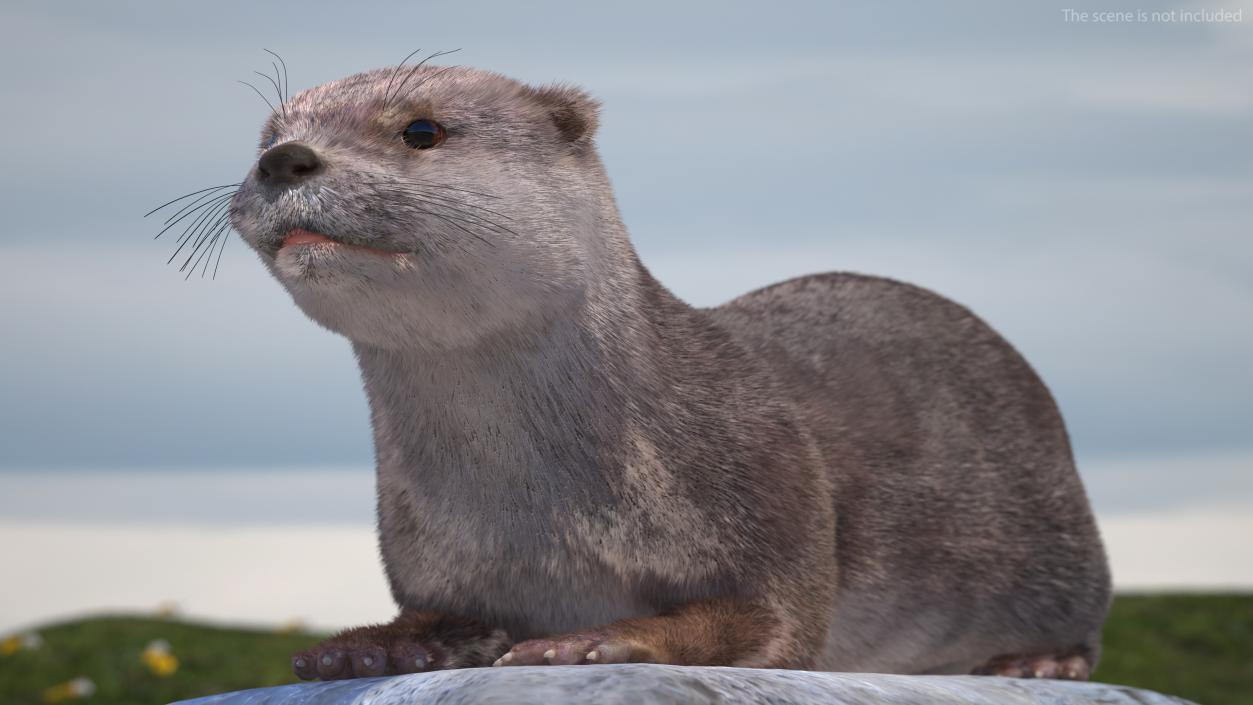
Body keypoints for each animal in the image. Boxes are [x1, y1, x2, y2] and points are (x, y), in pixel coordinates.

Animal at [210, 61, 1112, 686]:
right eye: (265, 134)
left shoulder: (772, 477)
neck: (548, 518)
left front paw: (594, 640)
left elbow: (772, 620)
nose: (286, 159)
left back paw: (1037, 662)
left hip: (1062, 537)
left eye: (421, 129)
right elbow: (444, 614)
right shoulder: (435, 553)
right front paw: (369, 646)